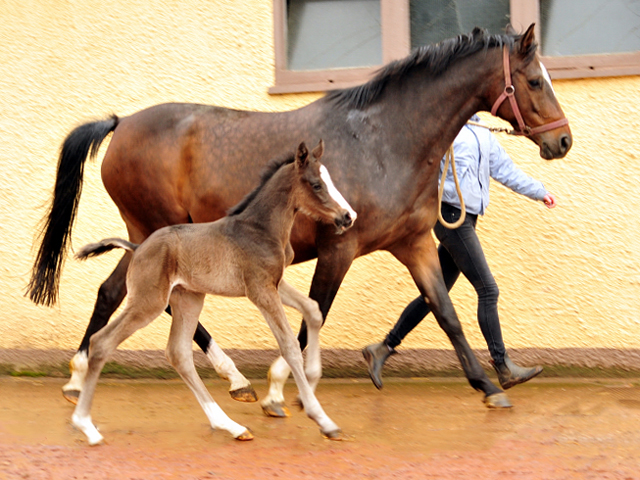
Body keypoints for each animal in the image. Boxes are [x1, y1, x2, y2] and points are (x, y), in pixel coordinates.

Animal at [27, 25, 572, 412]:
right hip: (157, 233)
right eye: (534, 80)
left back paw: (87, 376)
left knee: (113, 293)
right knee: (146, 300)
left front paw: (488, 385)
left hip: (152, 239)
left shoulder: (415, 244)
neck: (384, 141)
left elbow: (446, 313)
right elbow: (314, 317)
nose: (562, 141)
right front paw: (278, 389)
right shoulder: (339, 248)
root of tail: (120, 124)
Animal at [74, 141, 360, 444]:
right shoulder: (260, 290)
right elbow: (290, 345)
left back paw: (231, 426)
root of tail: (137, 247)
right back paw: (85, 424)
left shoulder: (275, 283)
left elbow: (313, 311)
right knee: (102, 342)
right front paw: (322, 419)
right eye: (316, 184)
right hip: (148, 301)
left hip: (188, 299)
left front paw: (312, 382)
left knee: (179, 354)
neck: (262, 228)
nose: (348, 216)